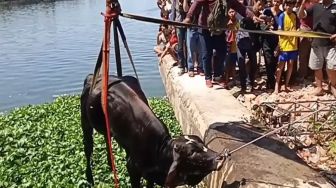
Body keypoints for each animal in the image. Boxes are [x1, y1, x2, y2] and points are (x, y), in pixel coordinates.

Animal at [80, 74, 224, 187]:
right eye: (192, 153)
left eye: (203, 144)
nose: (221, 157)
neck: (159, 151)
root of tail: (92, 76)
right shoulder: (132, 168)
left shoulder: (150, 175)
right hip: (85, 123)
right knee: (88, 149)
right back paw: (89, 179)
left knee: (107, 139)